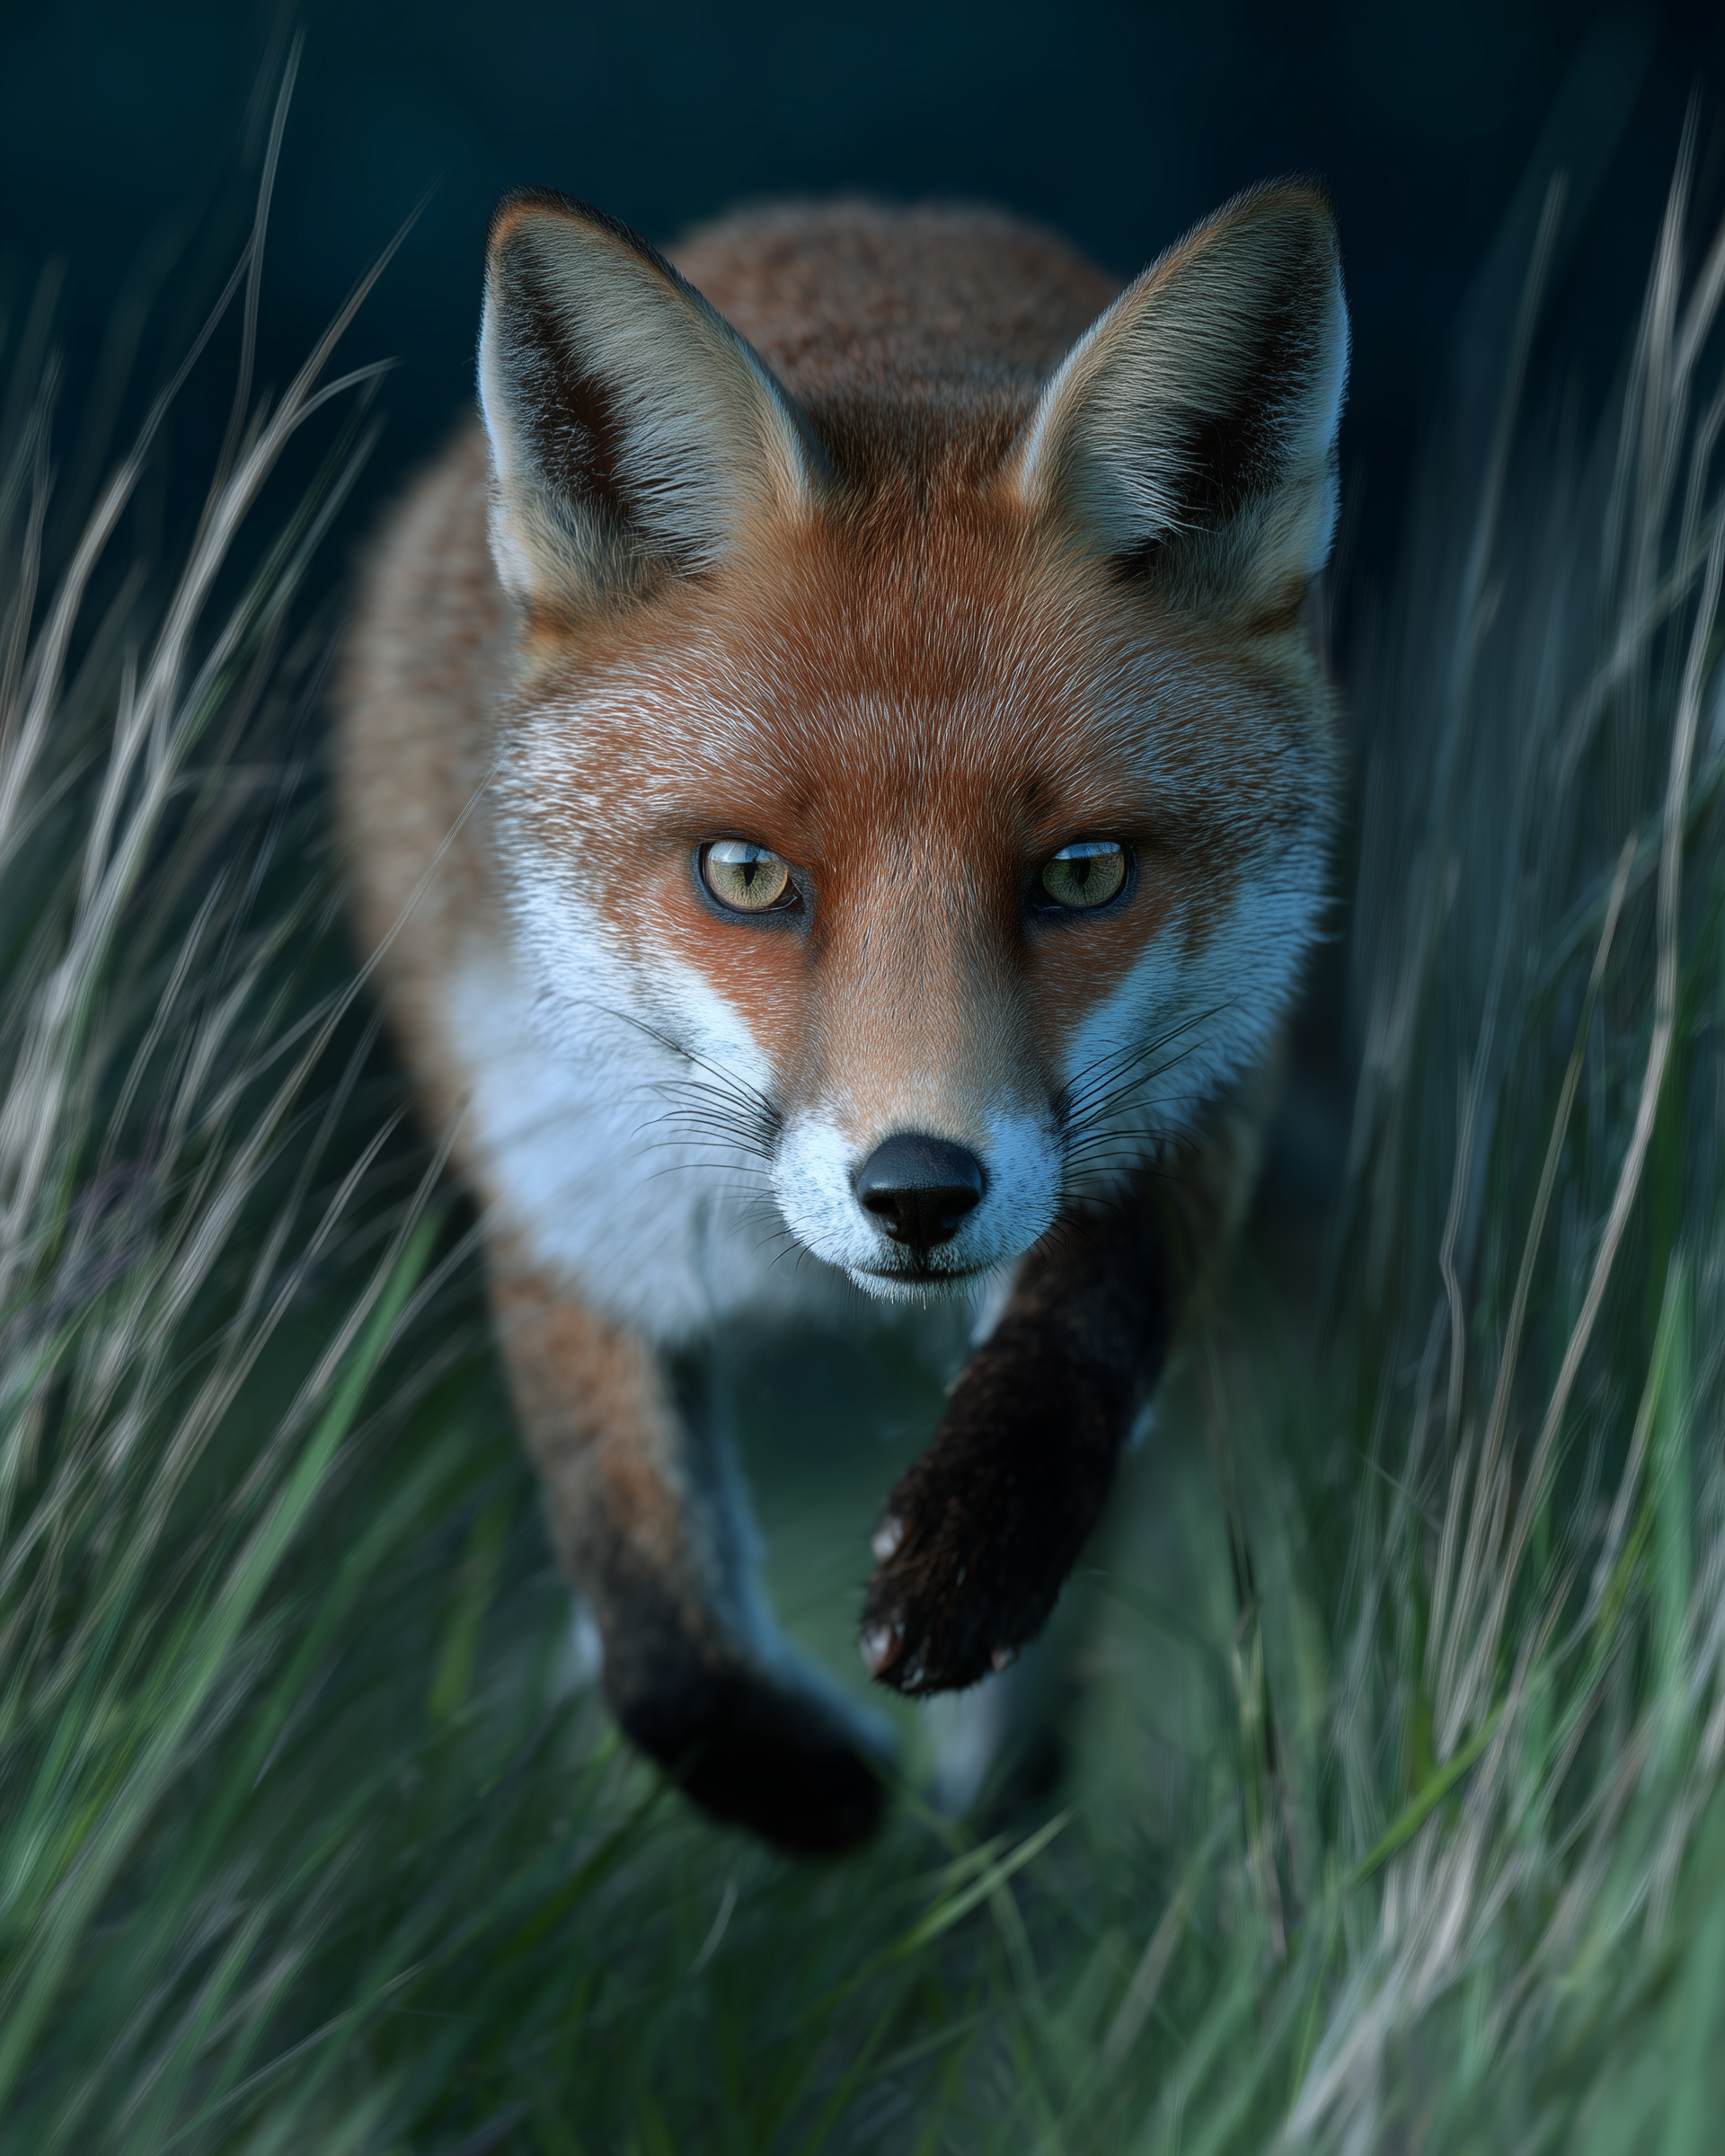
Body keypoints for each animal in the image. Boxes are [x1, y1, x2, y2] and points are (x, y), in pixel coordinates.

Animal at [337, 182, 1348, 1851]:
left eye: (1082, 872)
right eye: (748, 876)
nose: (919, 1193)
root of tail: (881, 209)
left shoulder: (1208, 1076)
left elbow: (1087, 1333)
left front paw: (975, 1550)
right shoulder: (560, 1185)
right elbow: (653, 1628)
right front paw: (819, 1793)